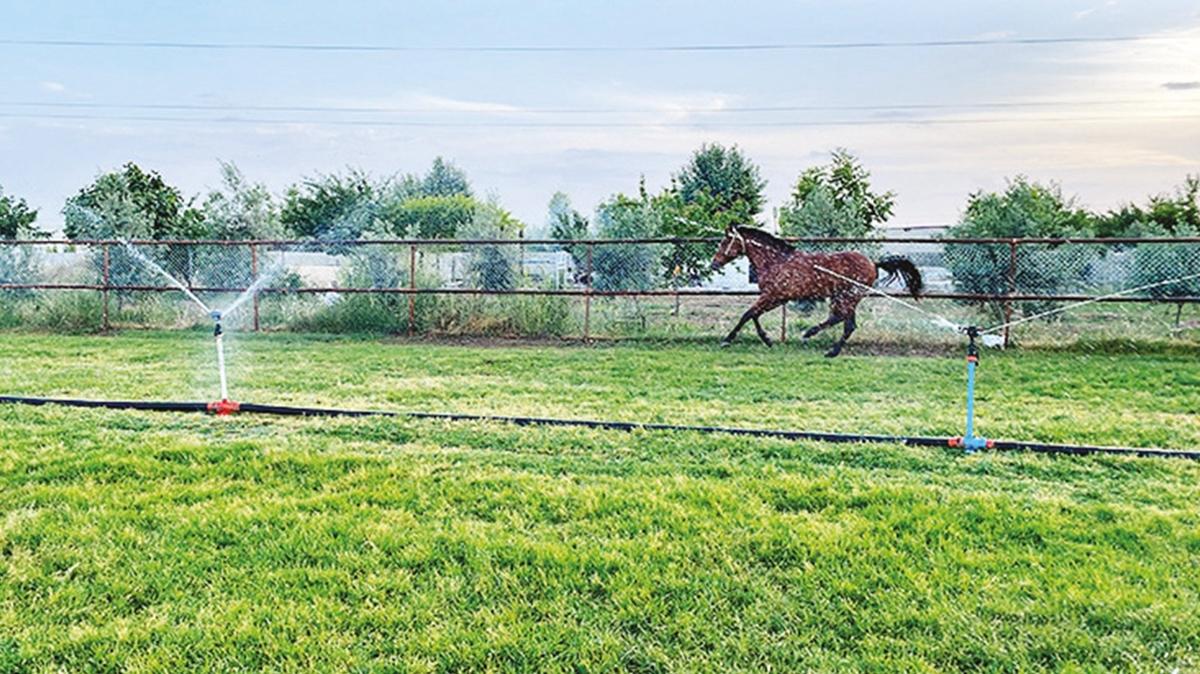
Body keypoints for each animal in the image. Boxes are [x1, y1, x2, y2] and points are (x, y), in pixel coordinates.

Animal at [705, 224, 921, 354]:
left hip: (848, 297)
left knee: (848, 324)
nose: (714, 264)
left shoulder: (771, 295)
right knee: (839, 319)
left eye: (725, 241)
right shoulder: (776, 297)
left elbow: (747, 314)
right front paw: (767, 340)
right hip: (841, 297)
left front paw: (727, 340)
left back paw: (830, 350)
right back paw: (811, 334)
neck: (776, 261)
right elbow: (754, 315)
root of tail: (873, 264)